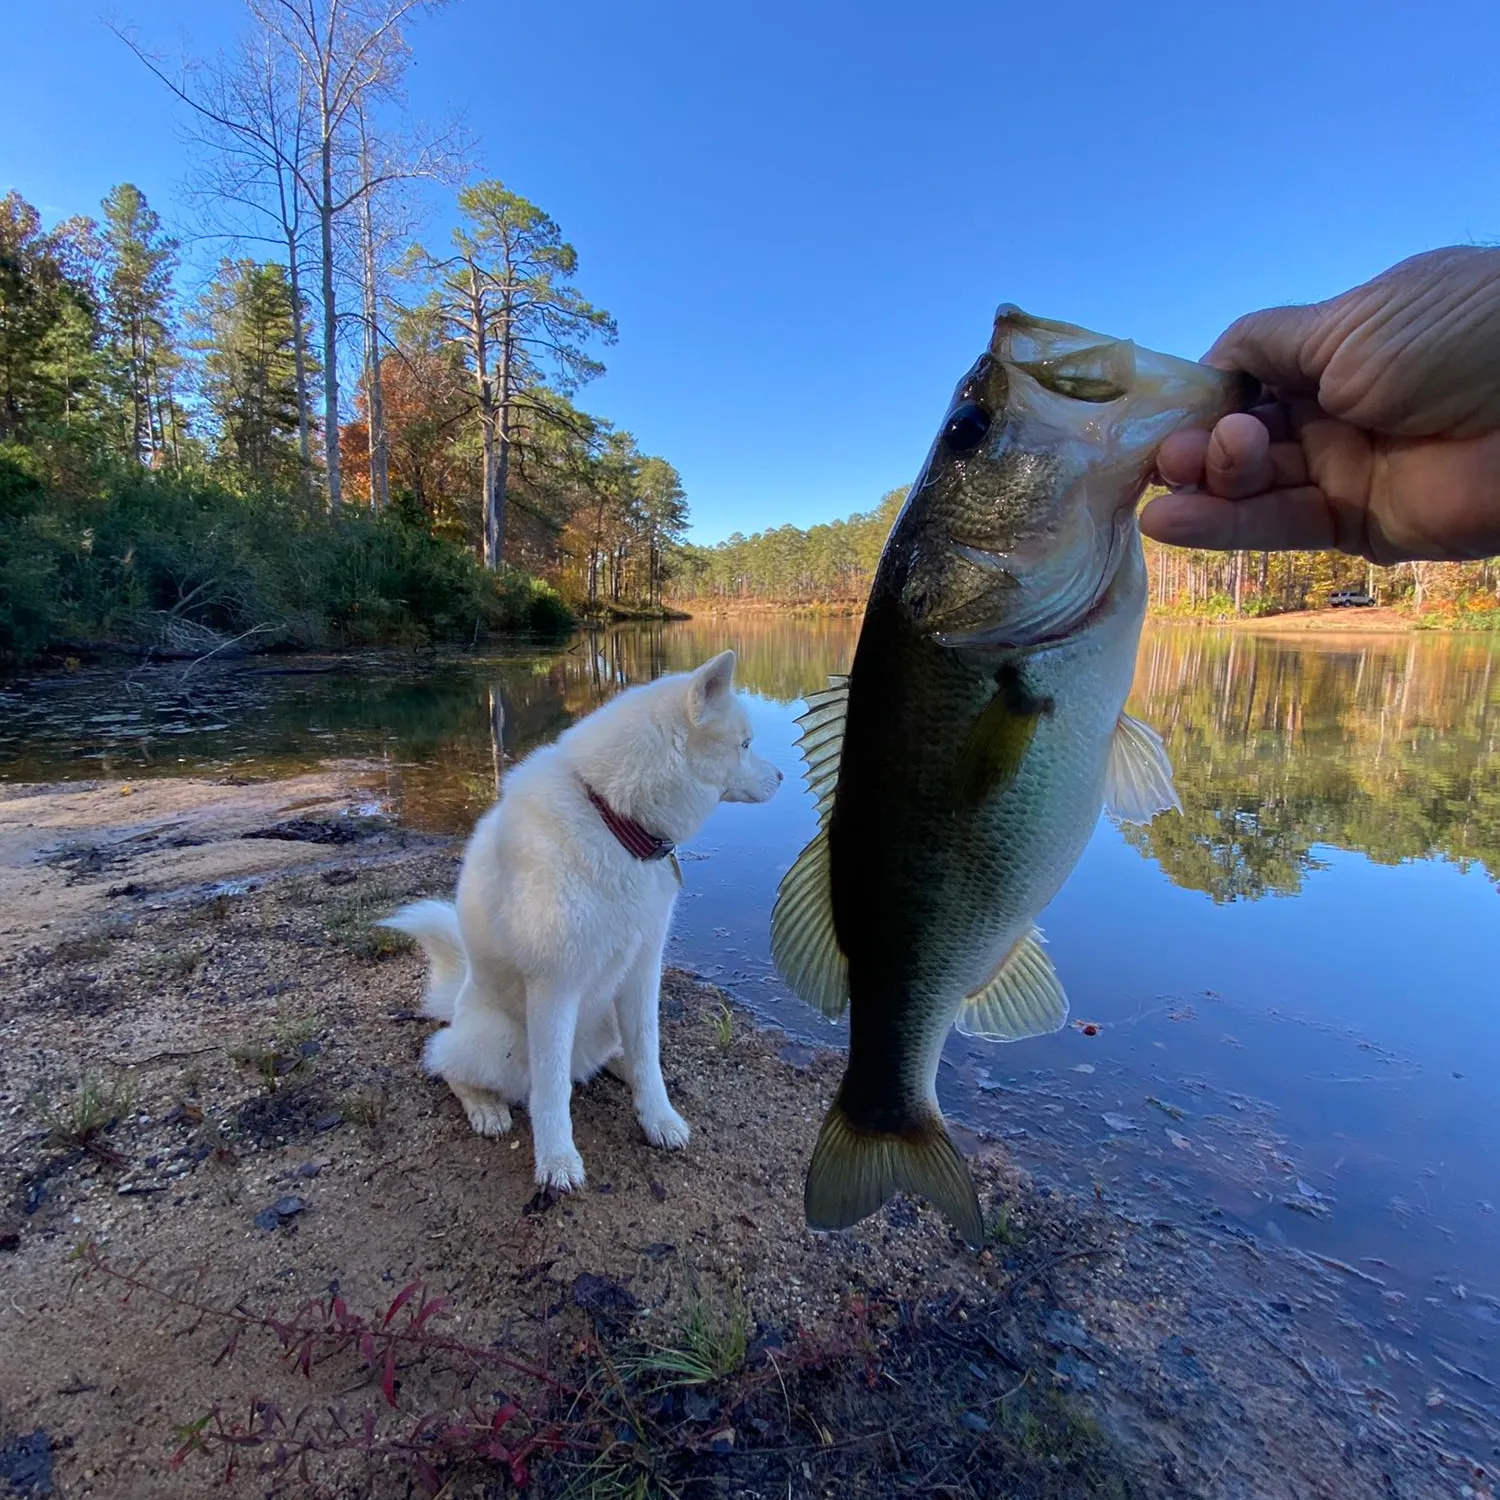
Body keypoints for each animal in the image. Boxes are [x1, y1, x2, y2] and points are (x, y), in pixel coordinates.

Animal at [378, 651, 786, 1188]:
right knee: (449, 1062)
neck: (613, 820)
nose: (782, 778)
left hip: (602, 1017)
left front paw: (658, 1118)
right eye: (745, 745)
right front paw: (556, 1161)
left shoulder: (643, 969)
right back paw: (486, 1108)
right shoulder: (554, 987)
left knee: (610, 1056)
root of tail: (460, 998)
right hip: (497, 1041)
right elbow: (551, 1091)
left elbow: (648, 1052)